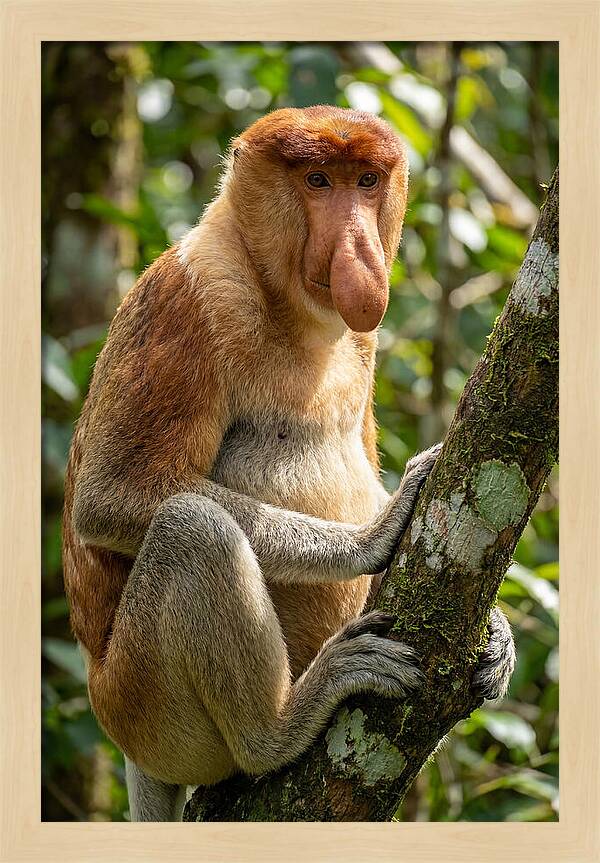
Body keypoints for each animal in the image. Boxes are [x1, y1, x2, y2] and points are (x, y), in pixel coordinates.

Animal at [62, 106, 515, 822]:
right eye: (318, 181)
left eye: (365, 181)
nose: (359, 250)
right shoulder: (188, 300)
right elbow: (113, 497)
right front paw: (375, 535)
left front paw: (498, 633)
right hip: (141, 706)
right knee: (192, 530)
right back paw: (281, 726)